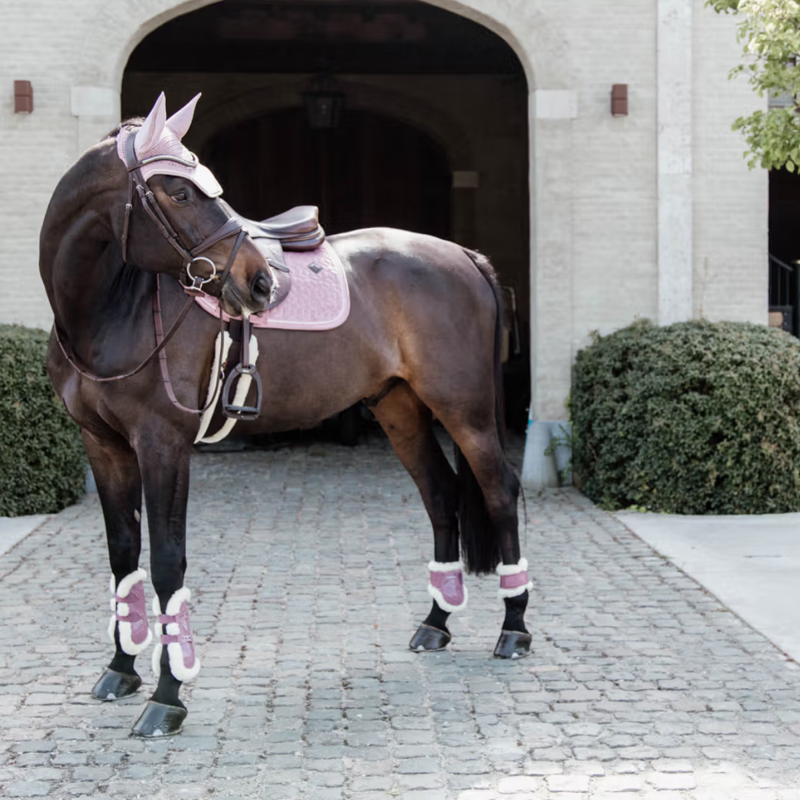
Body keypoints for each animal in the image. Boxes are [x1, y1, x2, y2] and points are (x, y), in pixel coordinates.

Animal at [40, 92, 531, 738]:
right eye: (179, 192)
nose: (259, 281)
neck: (111, 310)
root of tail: (465, 256)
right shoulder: (102, 444)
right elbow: (124, 554)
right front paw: (120, 670)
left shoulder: (162, 444)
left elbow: (168, 562)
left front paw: (168, 697)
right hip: (400, 409)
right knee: (442, 493)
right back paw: (435, 623)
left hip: (465, 410)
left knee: (498, 490)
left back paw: (514, 629)